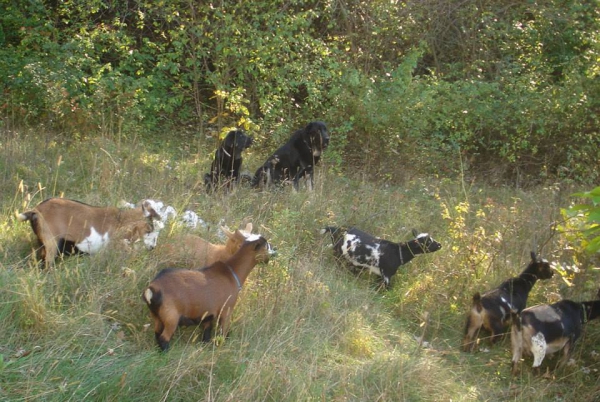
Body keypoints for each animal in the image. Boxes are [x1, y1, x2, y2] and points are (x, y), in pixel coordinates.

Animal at [141, 234, 272, 350]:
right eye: (266, 245)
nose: (274, 250)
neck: (231, 273)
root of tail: (153, 289)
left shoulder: (208, 315)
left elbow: (206, 335)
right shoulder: (226, 311)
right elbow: (223, 334)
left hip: (157, 316)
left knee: (157, 334)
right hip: (171, 318)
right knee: (164, 338)